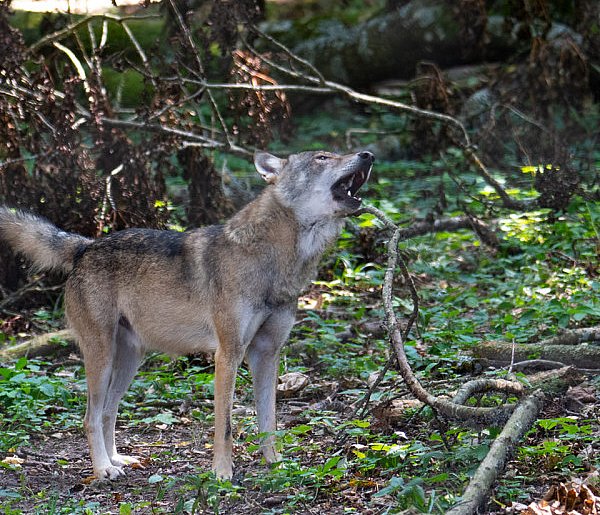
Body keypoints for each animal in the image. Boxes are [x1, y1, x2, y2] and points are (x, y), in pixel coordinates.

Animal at [0, 149, 372, 480]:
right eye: (322, 157)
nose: (367, 155)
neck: (274, 263)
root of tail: (86, 246)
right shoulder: (228, 354)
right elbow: (225, 425)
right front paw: (222, 474)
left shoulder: (267, 354)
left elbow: (269, 421)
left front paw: (277, 466)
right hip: (101, 357)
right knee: (90, 417)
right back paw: (104, 469)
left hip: (130, 361)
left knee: (108, 412)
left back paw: (118, 459)